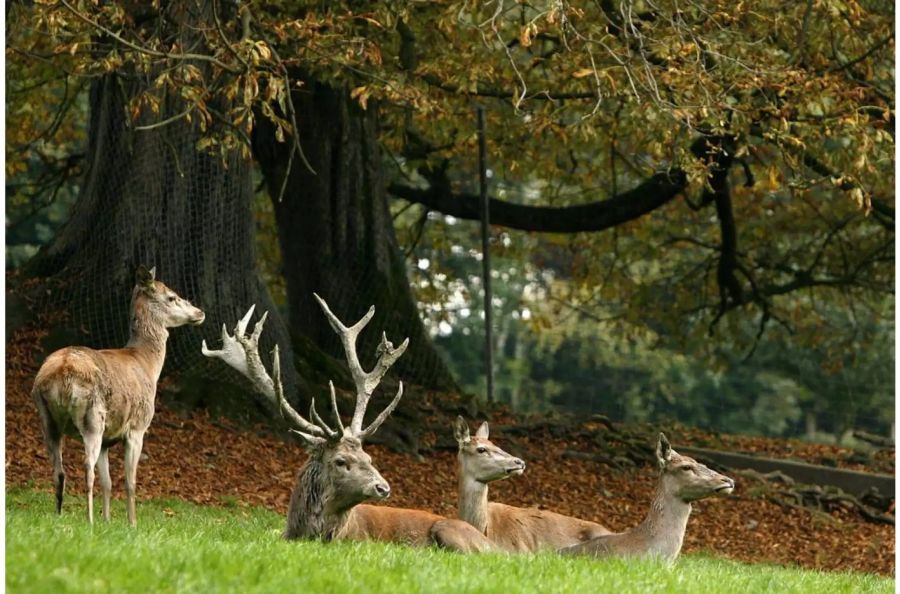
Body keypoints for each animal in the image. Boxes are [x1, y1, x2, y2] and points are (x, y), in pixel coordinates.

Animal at [31, 266, 204, 524]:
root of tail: (61, 372)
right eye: (172, 297)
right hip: (92, 415)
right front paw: (132, 523)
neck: (146, 363)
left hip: (46, 416)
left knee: (58, 470)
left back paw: (59, 515)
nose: (199, 312)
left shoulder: (108, 439)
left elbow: (108, 483)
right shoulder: (137, 428)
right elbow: (130, 481)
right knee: (86, 466)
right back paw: (89, 520)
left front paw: (108, 521)